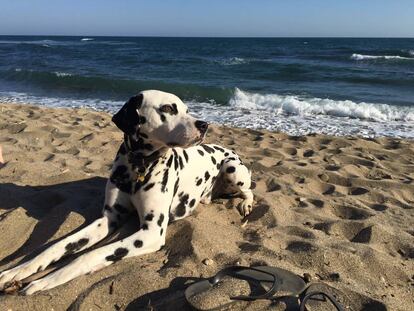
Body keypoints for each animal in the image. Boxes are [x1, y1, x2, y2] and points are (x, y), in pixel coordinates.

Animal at [0, 89, 254, 294]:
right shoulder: (108, 219)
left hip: (233, 169)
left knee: (249, 190)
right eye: (168, 108)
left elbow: (89, 254)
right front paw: (19, 270)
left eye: (187, 110)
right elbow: (58, 246)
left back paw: (245, 204)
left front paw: (46, 280)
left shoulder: (151, 232)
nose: (204, 125)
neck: (138, 165)